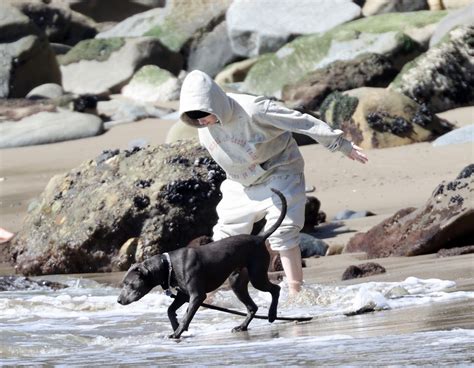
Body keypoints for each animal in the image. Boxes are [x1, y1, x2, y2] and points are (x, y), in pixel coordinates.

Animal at [117, 188, 286, 338]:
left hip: (257, 276)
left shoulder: (197, 296)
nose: (118, 300)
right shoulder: (183, 295)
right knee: (252, 307)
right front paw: (175, 326)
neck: (168, 265)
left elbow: (186, 316)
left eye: (130, 284)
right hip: (237, 282)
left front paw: (177, 333)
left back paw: (272, 315)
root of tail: (260, 237)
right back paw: (242, 326)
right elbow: (170, 311)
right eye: (123, 284)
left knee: (276, 289)